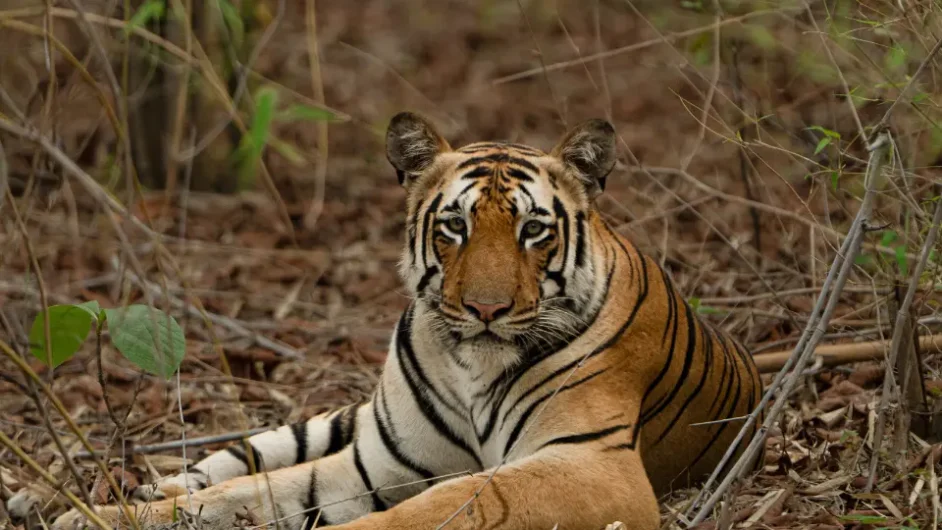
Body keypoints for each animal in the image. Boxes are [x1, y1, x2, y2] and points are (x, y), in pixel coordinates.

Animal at [37, 112, 762, 530]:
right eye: (454, 226)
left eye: (533, 230)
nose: (487, 310)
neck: (473, 366)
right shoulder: (371, 465)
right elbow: (247, 492)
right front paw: (100, 516)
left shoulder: (591, 464)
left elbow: (449, 505)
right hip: (334, 426)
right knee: (232, 461)